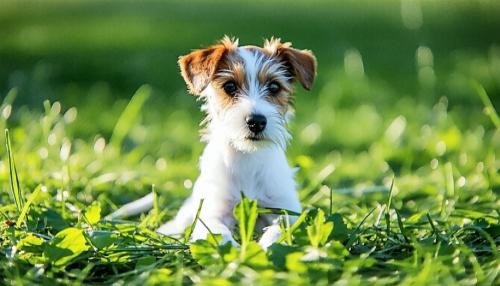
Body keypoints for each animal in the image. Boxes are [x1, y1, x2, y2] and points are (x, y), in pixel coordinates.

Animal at [111, 36, 318, 249]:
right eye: (230, 86)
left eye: (274, 87)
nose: (256, 122)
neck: (247, 158)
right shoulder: (212, 212)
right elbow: (219, 233)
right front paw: (236, 250)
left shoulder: (286, 211)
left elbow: (279, 230)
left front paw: (266, 246)